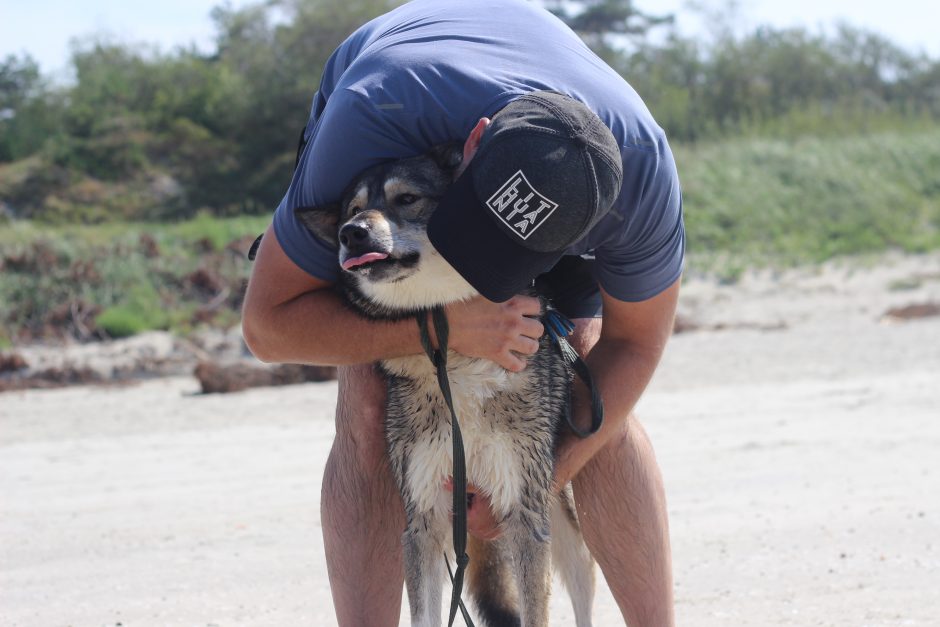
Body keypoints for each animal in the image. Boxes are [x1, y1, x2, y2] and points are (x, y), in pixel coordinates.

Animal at [300, 144, 596, 627]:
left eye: (406, 199)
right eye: (355, 210)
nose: (351, 234)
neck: (454, 362)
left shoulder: (524, 516)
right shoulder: (423, 519)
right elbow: (426, 614)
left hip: (564, 525)